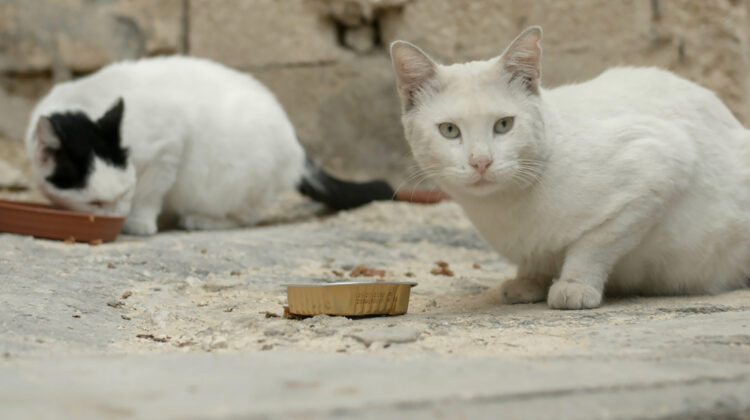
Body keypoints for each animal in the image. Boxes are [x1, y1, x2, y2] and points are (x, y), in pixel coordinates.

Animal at [26, 55, 396, 236]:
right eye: (96, 202)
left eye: (125, 192)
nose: (116, 216)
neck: (83, 103)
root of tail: (295, 144)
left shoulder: (170, 145)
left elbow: (150, 192)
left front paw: (138, 221)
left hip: (233, 182)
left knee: (248, 215)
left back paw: (201, 221)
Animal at [394, 26, 750, 308]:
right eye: (449, 130)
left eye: (504, 125)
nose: (480, 161)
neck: (504, 207)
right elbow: (537, 258)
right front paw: (530, 282)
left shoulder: (660, 167)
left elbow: (592, 246)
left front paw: (574, 286)